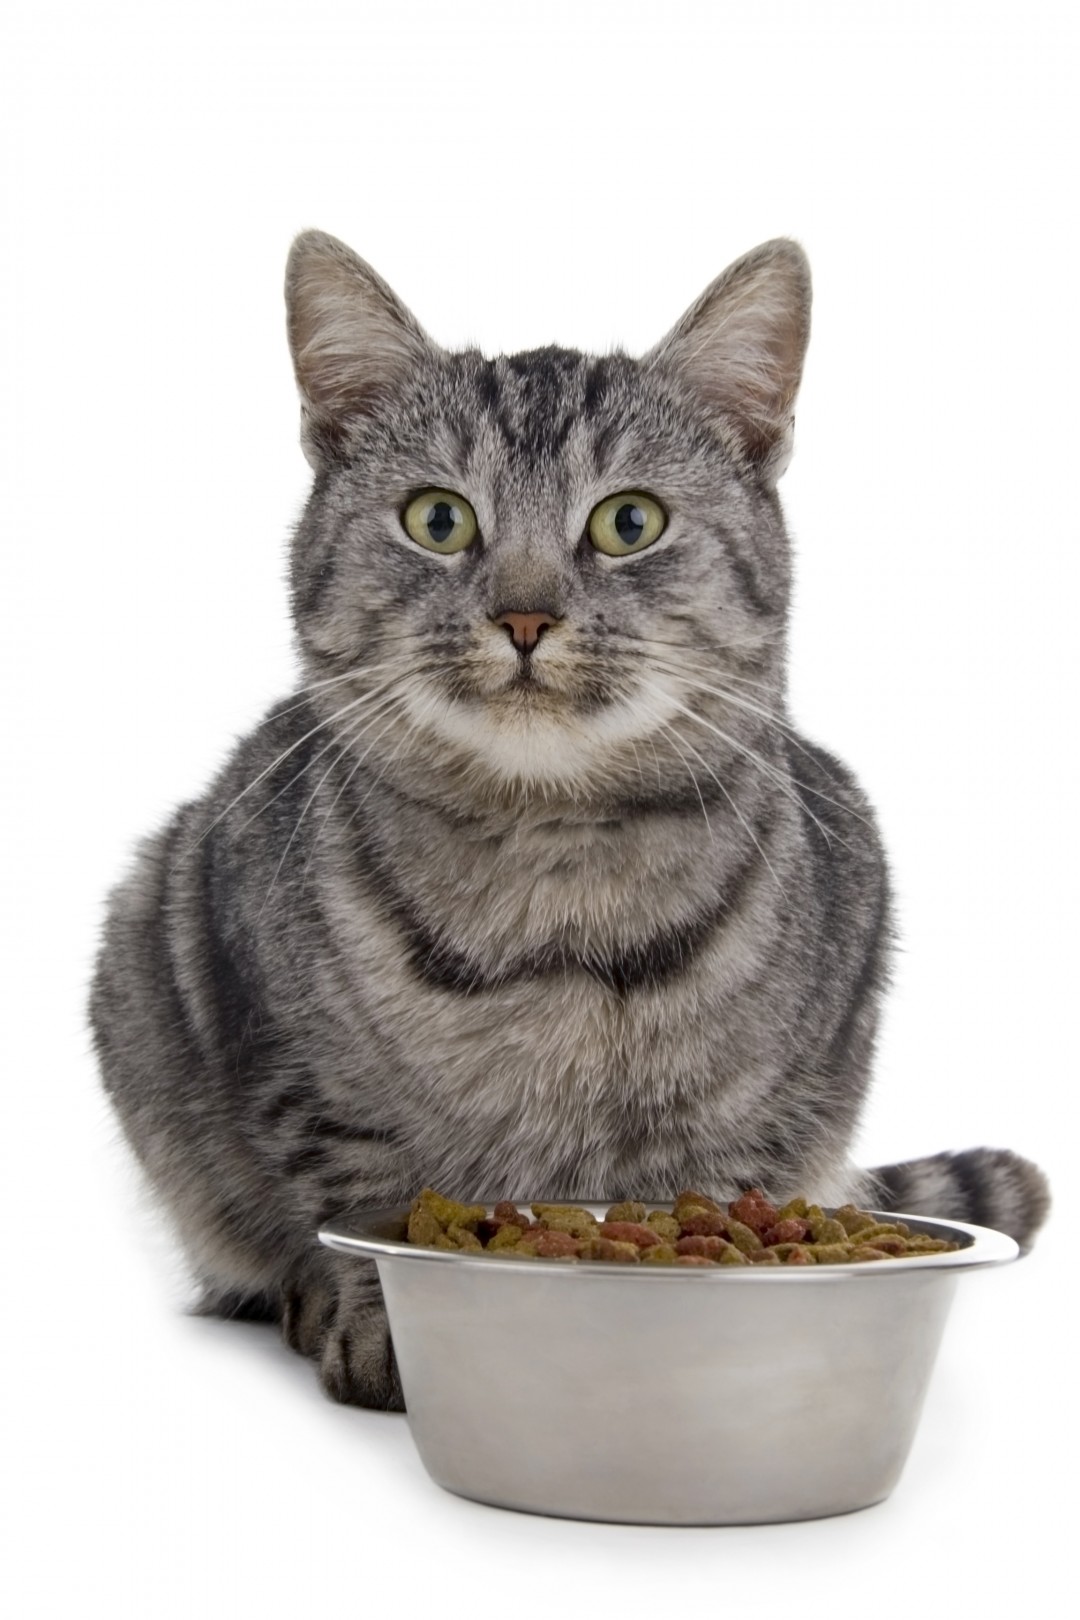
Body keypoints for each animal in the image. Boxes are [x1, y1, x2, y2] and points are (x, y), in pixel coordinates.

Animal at [88, 228, 1049, 1406]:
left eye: (629, 523)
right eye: (438, 518)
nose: (524, 615)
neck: (553, 875)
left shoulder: (771, 1100)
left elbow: (722, 1195)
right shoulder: (291, 1051)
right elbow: (361, 1202)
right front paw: (380, 1326)